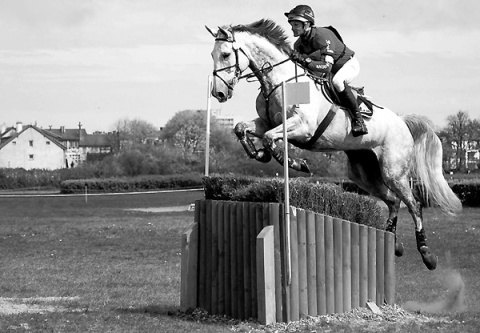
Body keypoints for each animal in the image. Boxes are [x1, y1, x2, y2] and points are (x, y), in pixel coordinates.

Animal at [206, 18, 462, 270]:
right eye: (212, 54)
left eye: (226, 54)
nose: (218, 94)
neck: (279, 80)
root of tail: (402, 122)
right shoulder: (265, 122)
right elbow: (241, 128)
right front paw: (259, 154)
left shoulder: (302, 127)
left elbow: (270, 138)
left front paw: (296, 163)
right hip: (364, 173)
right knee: (393, 200)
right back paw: (393, 242)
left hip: (393, 171)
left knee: (414, 204)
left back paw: (426, 254)